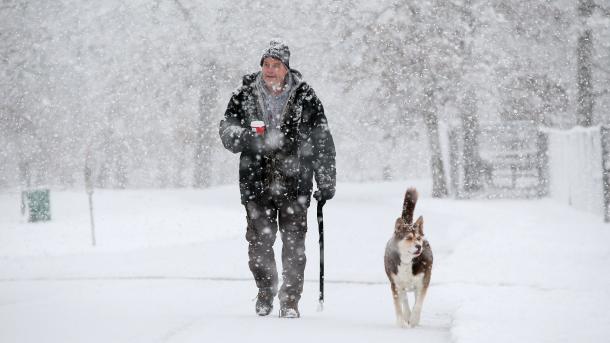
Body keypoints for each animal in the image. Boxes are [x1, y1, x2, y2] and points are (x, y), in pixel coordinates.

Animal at [382, 189, 430, 330]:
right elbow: (398, 305)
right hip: (400, 283)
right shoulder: (395, 284)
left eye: (418, 238)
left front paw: (414, 319)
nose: (419, 246)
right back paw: (407, 315)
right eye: (408, 238)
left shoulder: (423, 281)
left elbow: (419, 303)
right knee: (404, 299)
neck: (408, 261)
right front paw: (401, 323)